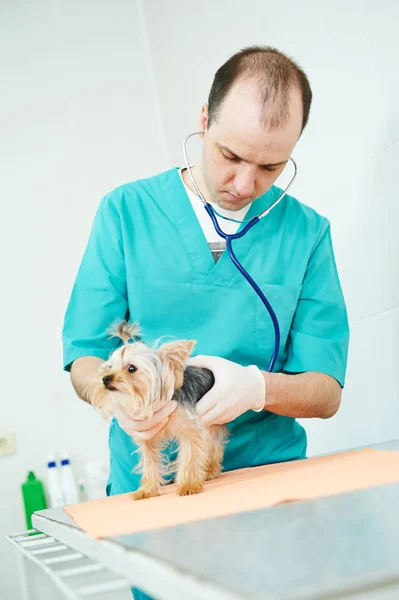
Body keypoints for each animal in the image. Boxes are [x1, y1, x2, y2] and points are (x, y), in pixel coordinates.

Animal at [87, 322, 227, 500]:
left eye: (131, 368)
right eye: (109, 367)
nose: (105, 378)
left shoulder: (190, 429)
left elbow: (189, 456)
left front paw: (188, 485)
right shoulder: (147, 435)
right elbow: (150, 462)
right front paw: (147, 489)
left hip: (214, 420)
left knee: (214, 444)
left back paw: (211, 470)